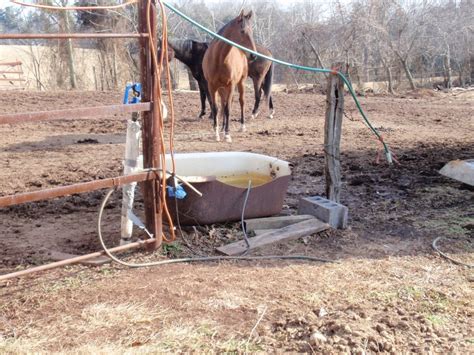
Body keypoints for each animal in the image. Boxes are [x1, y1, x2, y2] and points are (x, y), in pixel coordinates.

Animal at [203, 9, 258, 142]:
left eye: (252, 31)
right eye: (242, 31)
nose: (253, 55)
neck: (219, 58)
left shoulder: (231, 85)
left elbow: (228, 108)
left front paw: (227, 135)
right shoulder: (211, 87)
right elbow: (216, 108)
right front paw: (216, 133)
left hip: (240, 83)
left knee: (240, 102)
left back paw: (241, 126)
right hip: (221, 88)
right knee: (223, 104)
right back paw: (222, 128)